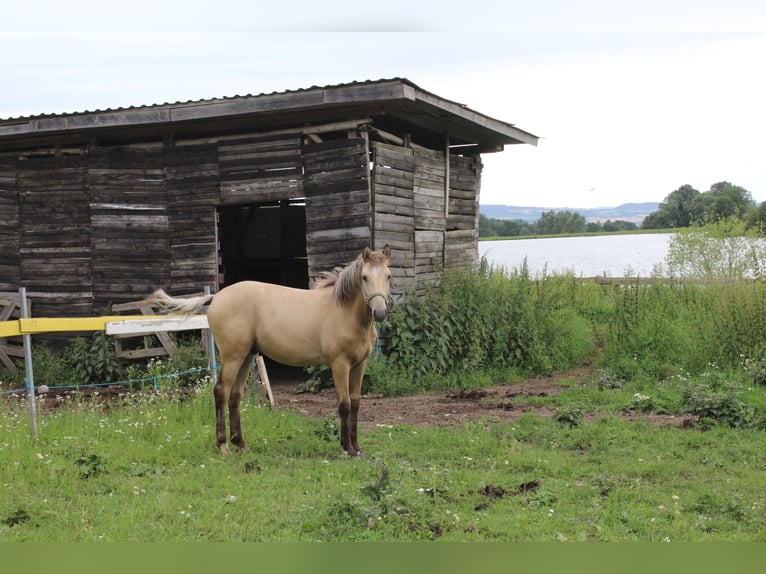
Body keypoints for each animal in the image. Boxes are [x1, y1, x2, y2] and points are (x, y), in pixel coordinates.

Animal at [146, 245, 392, 456]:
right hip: (233, 357)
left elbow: (356, 403)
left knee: (235, 395)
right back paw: (223, 446)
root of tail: (216, 296)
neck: (344, 311)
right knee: (221, 391)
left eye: (388, 276)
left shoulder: (359, 365)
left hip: (247, 357)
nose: (380, 312)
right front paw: (347, 447)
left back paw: (241, 444)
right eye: (364, 277)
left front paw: (357, 447)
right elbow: (344, 404)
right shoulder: (339, 364)